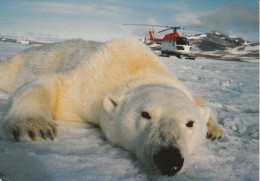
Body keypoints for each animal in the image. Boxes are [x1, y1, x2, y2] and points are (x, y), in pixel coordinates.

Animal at [0, 38, 223, 175]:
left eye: (190, 123)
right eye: (145, 114)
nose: (169, 159)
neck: (139, 68)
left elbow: (200, 101)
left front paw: (215, 131)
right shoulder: (90, 83)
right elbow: (52, 86)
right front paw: (36, 126)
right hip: (24, 61)